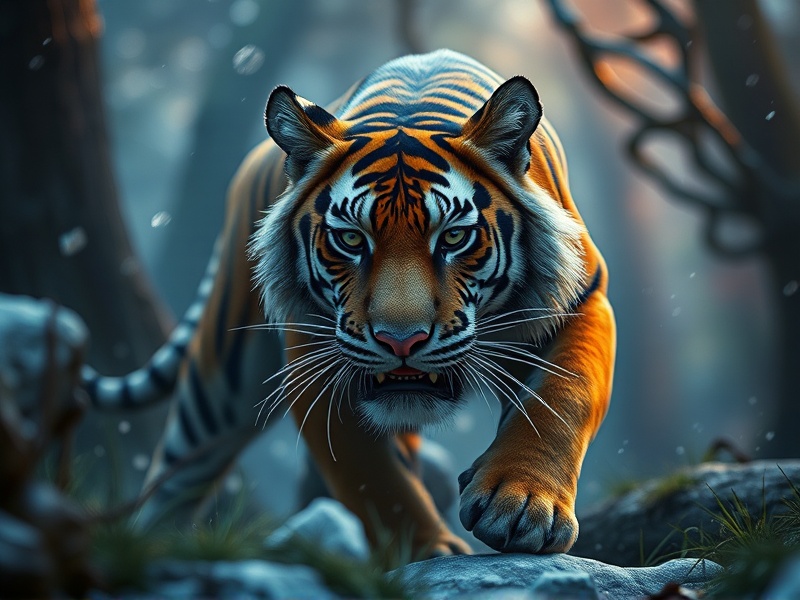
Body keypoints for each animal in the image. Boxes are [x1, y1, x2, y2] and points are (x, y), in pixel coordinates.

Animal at [82, 49, 615, 557]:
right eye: (351, 240)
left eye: (454, 237)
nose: (401, 342)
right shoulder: (313, 351)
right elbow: (370, 475)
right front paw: (425, 551)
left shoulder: (581, 301)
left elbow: (560, 401)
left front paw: (523, 505)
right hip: (219, 387)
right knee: (174, 478)